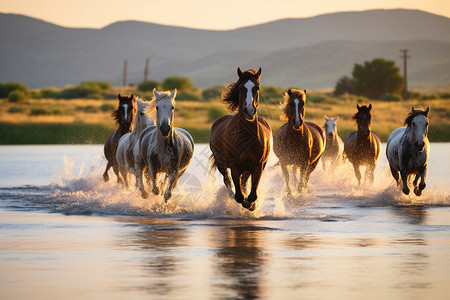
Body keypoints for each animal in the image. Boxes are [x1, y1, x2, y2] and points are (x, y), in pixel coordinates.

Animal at [208, 67, 270, 211]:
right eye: (241, 88)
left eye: (257, 88)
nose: (249, 111)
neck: (246, 138)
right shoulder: (235, 167)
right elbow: (239, 196)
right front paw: (244, 201)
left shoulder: (257, 166)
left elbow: (251, 194)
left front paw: (251, 205)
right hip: (221, 164)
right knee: (227, 180)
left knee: (244, 181)